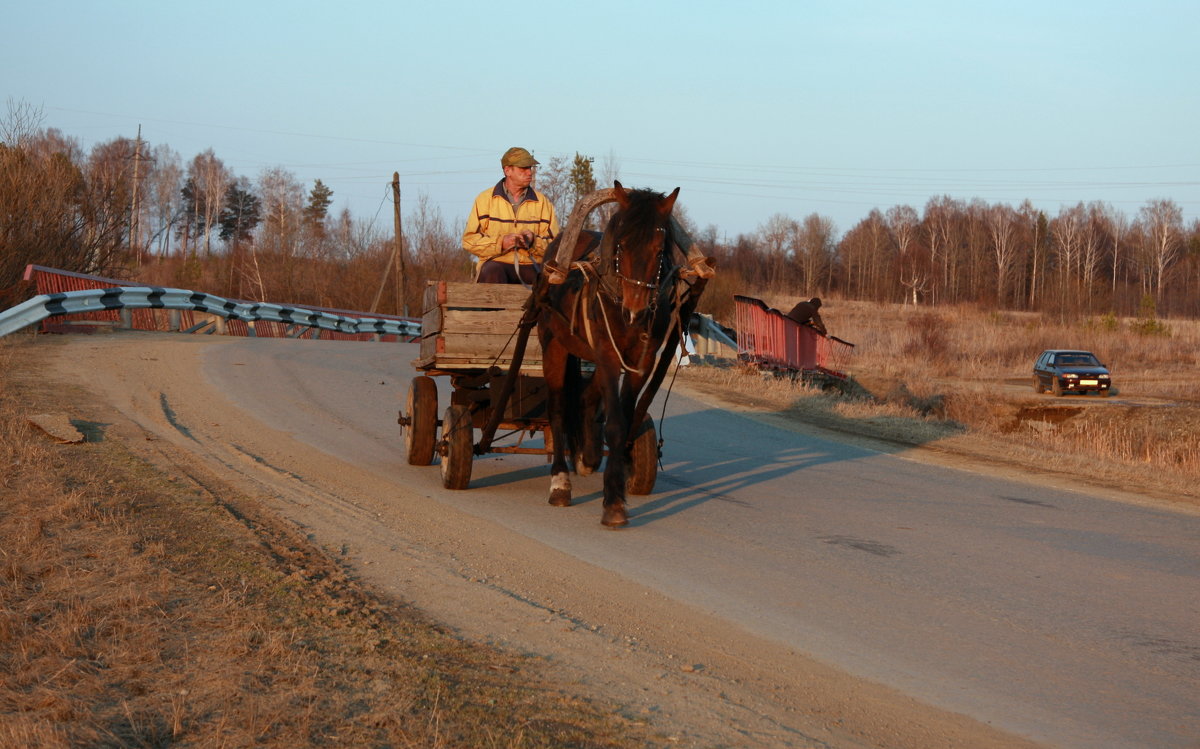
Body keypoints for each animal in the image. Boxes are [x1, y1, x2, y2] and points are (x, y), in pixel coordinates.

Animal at [535, 182, 710, 525]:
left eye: (659, 250)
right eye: (622, 246)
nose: (635, 309)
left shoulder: (640, 361)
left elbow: (625, 420)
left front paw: (614, 489)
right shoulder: (607, 355)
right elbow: (615, 424)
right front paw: (613, 503)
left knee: (586, 397)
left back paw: (587, 453)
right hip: (554, 344)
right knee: (558, 408)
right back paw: (560, 481)